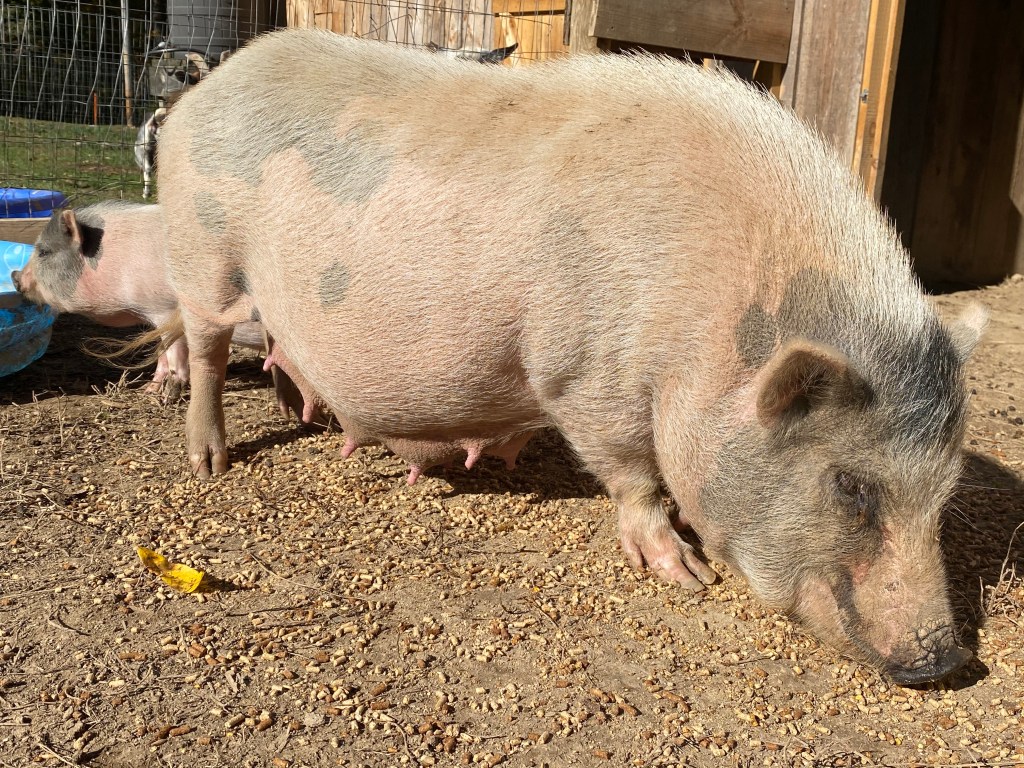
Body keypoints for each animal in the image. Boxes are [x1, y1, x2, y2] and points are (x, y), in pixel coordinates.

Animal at [10, 202, 311, 420]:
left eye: (44, 252)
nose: (14, 277)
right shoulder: (154, 317)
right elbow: (161, 356)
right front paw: (148, 390)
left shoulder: (165, 310)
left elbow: (175, 354)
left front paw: (168, 397)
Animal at [154, 28, 985, 684]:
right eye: (850, 485)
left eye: (946, 487)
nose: (944, 664)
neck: (707, 330)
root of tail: (198, 96)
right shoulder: (585, 376)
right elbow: (634, 473)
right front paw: (686, 574)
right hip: (202, 251)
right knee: (204, 345)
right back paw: (209, 461)